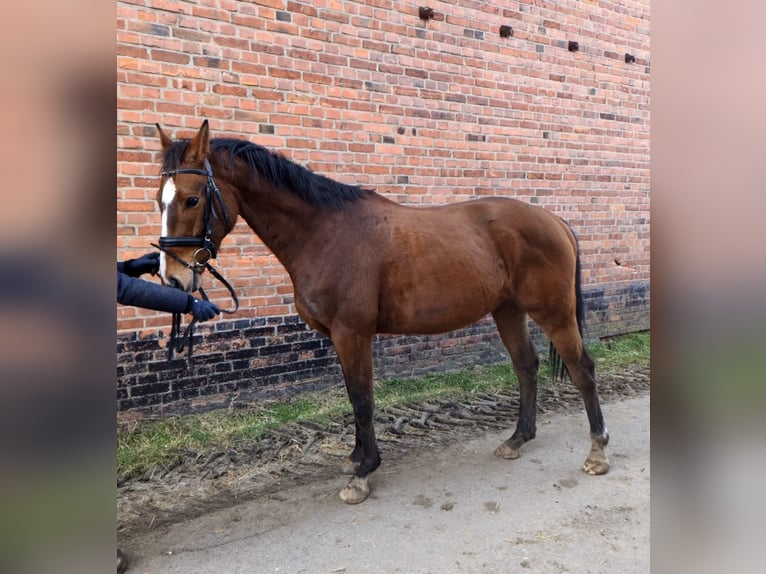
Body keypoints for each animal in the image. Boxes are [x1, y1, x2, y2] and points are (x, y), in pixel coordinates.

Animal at [152, 120, 609, 504]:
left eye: (192, 199)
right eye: (160, 199)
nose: (172, 278)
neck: (324, 233)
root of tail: (553, 220)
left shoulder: (352, 333)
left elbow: (362, 399)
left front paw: (363, 473)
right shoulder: (339, 337)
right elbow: (353, 395)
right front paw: (356, 458)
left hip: (553, 312)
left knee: (581, 368)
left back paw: (597, 451)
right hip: (508, 310)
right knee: (526, 366)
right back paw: (518, 439)